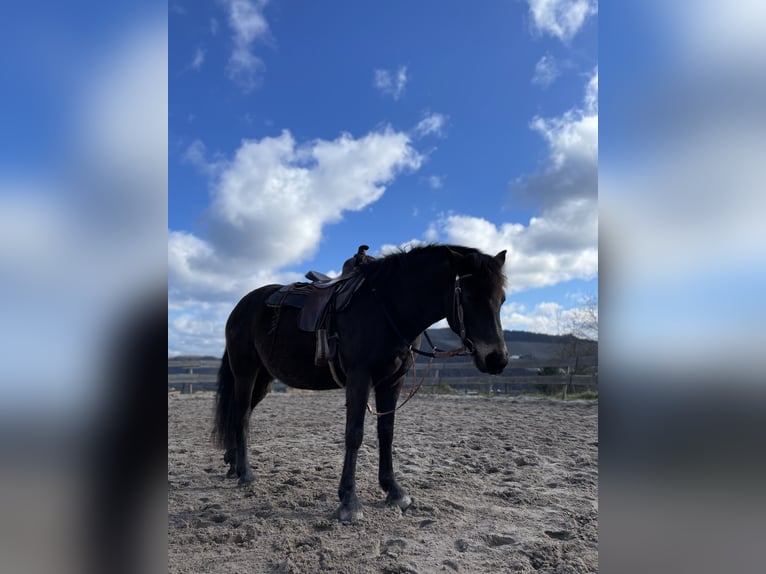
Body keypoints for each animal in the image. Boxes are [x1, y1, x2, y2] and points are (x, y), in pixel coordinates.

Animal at [213, 245, 510, 524]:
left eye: (502, 299)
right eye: (469, 297)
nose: (497, 359)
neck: (389, 306)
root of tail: (240, 307)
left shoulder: (392, 382)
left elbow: (386, 432)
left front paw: (393, 490)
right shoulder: (360, 377)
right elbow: (354, 434)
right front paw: (349, 501)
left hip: (263, 378)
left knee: (240, 414)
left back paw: (233, 464)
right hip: (245, 373)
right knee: (241, 416)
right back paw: (245, 473)